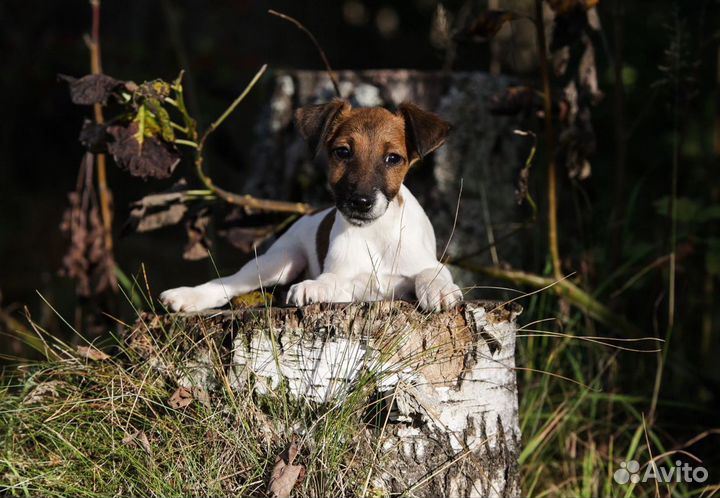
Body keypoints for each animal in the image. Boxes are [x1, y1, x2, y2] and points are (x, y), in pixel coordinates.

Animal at [159, 98, 462, 312]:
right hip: (280, 260)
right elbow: (329, 280)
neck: (374, 234)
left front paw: (439, 289)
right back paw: (186, 295)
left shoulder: (421, 266)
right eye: (343, 152)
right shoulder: (346, 282)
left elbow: (432, 273)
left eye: (394, 159)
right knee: (230, 283)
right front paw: (313, 288)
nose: (361, 202)